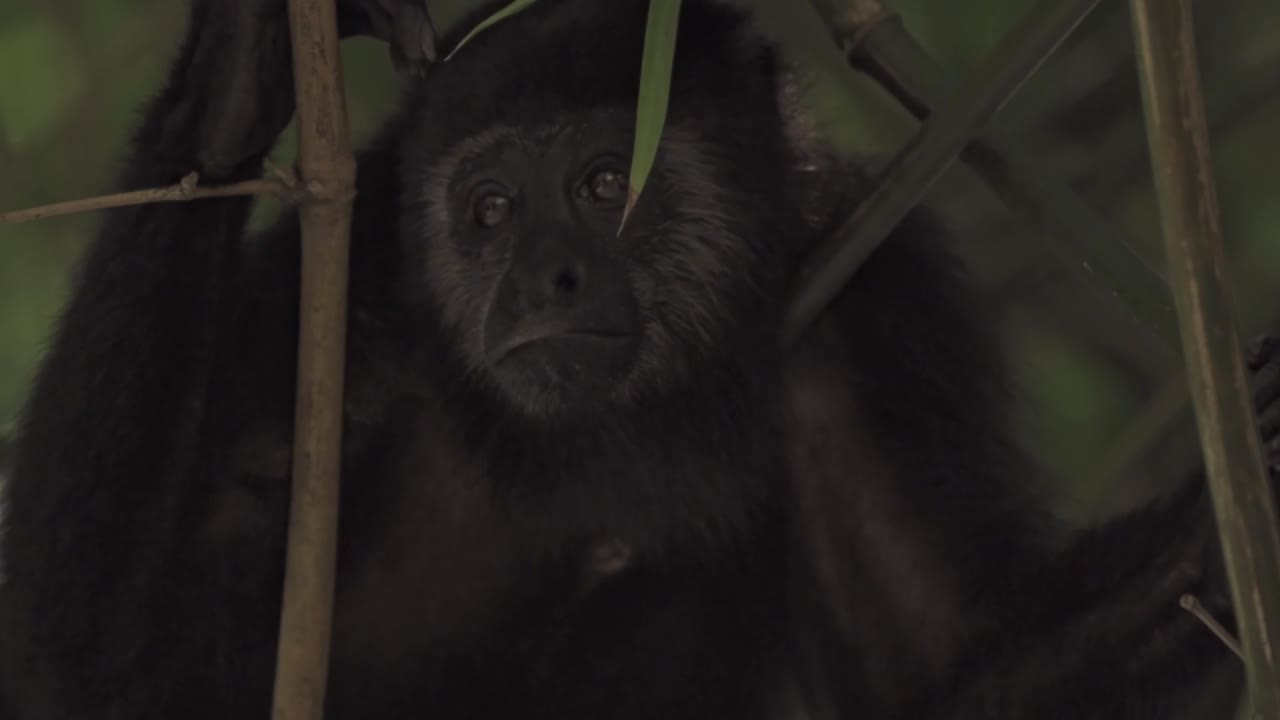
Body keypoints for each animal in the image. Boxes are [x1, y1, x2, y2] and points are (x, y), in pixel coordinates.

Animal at [0, 0, 1276, 718]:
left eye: (605, 183)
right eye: (489, 211)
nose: (539, 283)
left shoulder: (874, 299)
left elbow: (931, 661)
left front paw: (1226, 497)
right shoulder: (344, 290)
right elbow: (96, 670)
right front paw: (237, 71)